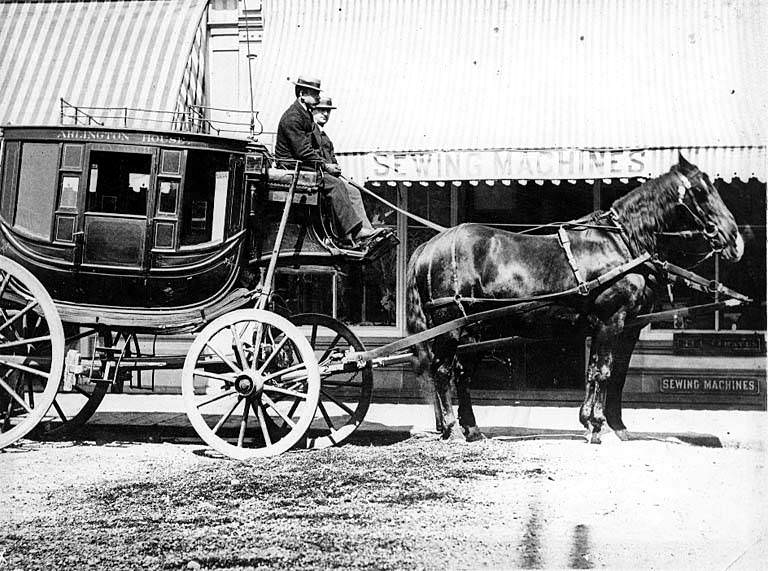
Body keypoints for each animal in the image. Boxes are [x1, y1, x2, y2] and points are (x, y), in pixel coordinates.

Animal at [408, 155, 744, 442]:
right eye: (701, 191)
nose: (736, 240)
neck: (620, 242)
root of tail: (429, 246)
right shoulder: (612, 320)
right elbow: (604, 371)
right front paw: (596, 425)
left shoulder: (625, 326)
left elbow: (611, 373)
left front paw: (609, 425)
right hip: (452, 327)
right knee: (442, 371)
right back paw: (450, 427)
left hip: (477, 330)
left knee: (460, 374)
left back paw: (472, 429)